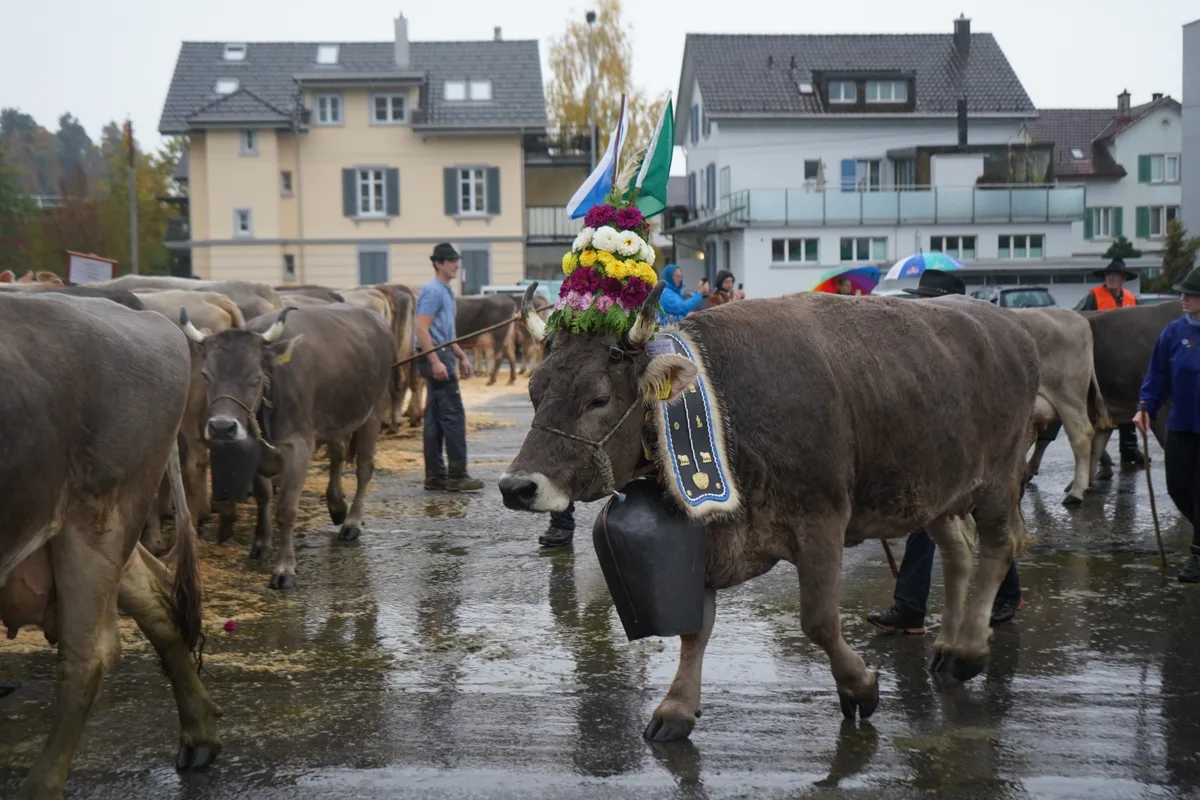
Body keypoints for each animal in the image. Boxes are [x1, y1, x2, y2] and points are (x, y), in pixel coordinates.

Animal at [0, 292, 216, 798]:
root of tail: (144, 315)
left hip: (96, 524)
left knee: (87, 656)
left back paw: (40, 786)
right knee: (157, 604)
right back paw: (199, 734)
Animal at [181, 304, 396, 589]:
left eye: (255, 377)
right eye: (206, 376)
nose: (223, 427)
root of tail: (373, 317)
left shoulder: (299, 448)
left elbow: (285, 509)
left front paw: (284, 569)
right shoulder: (256, 451)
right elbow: (263, 496)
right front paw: (262, 543)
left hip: (373, 411)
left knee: (364, 468)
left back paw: (351, 522)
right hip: (335, 419)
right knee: (337, 454)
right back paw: (337, 506)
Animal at [499, 284, 1039, 741]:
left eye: (599, 398)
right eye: (534, 390)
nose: (516, 486)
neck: (726, 400)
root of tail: (1009, 324)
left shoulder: (821, 519)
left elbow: (819, 621)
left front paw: (860, 686)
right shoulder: (710, 532)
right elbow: (695, 627)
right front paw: (676, 709)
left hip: (998, 477)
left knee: (998, 545)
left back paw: (968, 652)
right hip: (936, 490)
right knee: (958, 552)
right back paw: (947, 647)